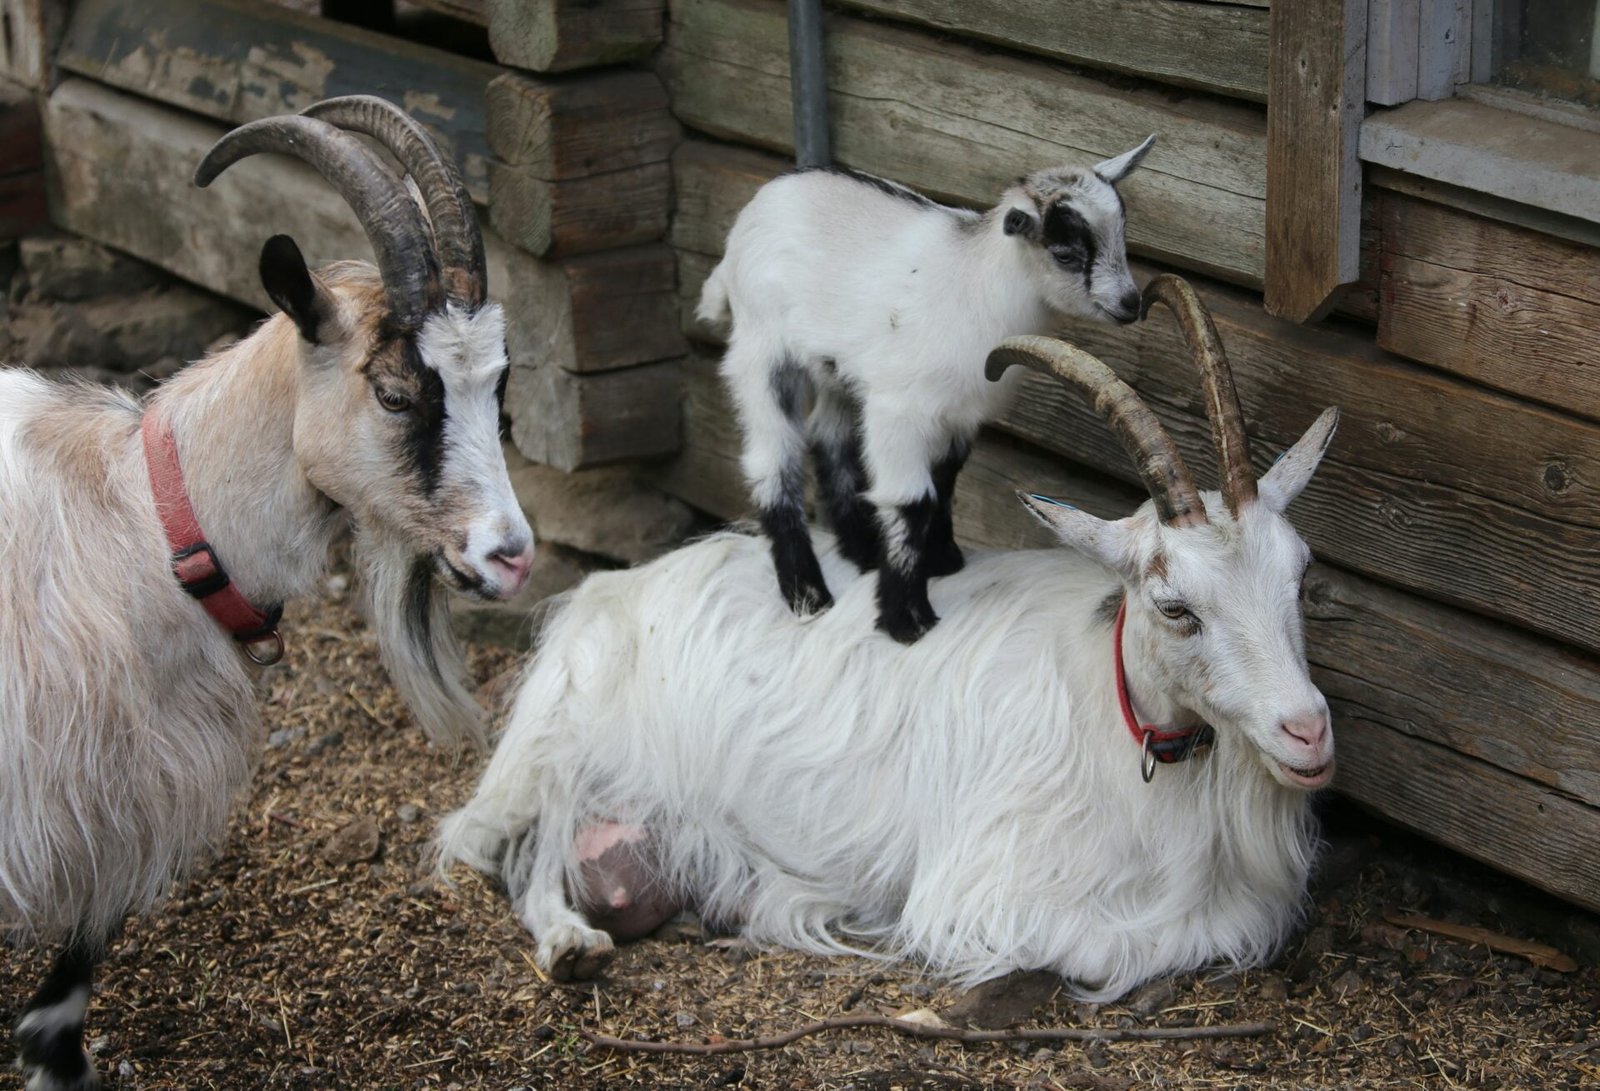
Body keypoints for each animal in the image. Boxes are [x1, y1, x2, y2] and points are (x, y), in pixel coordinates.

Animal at [439, 276, 1340, 995]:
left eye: (1299, 574)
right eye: (1174, 605)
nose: (1308, 731)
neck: (1116, 714)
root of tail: (614, 586)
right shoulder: (976, 896)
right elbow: (1124, 949)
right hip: (554, 748)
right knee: (497, 849)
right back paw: (572, 943)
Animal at [697, 137, 1155, 643]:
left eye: (1122, 234)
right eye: (1066, 253)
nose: (1130, 304)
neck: (979, 284)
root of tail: (753, 211)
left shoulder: (959, 413)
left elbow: (945, 481)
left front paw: (944, 560)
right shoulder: (899, 410)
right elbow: (912, 500)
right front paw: (906, 617)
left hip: (835, 367)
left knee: (829, 439)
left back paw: (861, 550)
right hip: (763, 350)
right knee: (773, 458)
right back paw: (807, 594)